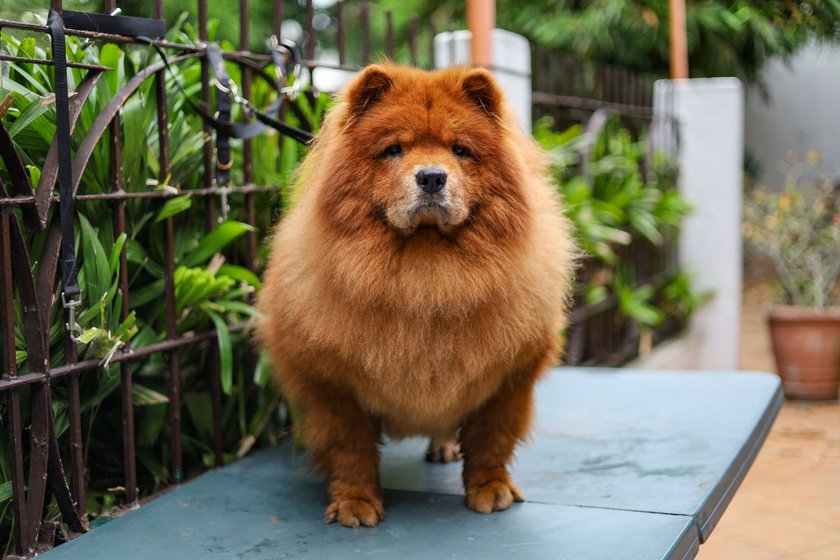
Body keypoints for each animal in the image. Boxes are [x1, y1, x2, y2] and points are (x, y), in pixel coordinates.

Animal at [256, 63, 576, 528]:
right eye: (393, 149)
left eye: (460, 150)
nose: (431, 176)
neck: (426, 277)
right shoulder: (331, 384)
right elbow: (350, 448)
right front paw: (355, 502)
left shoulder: (511, 377)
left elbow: (491, 439)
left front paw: (490, 489)